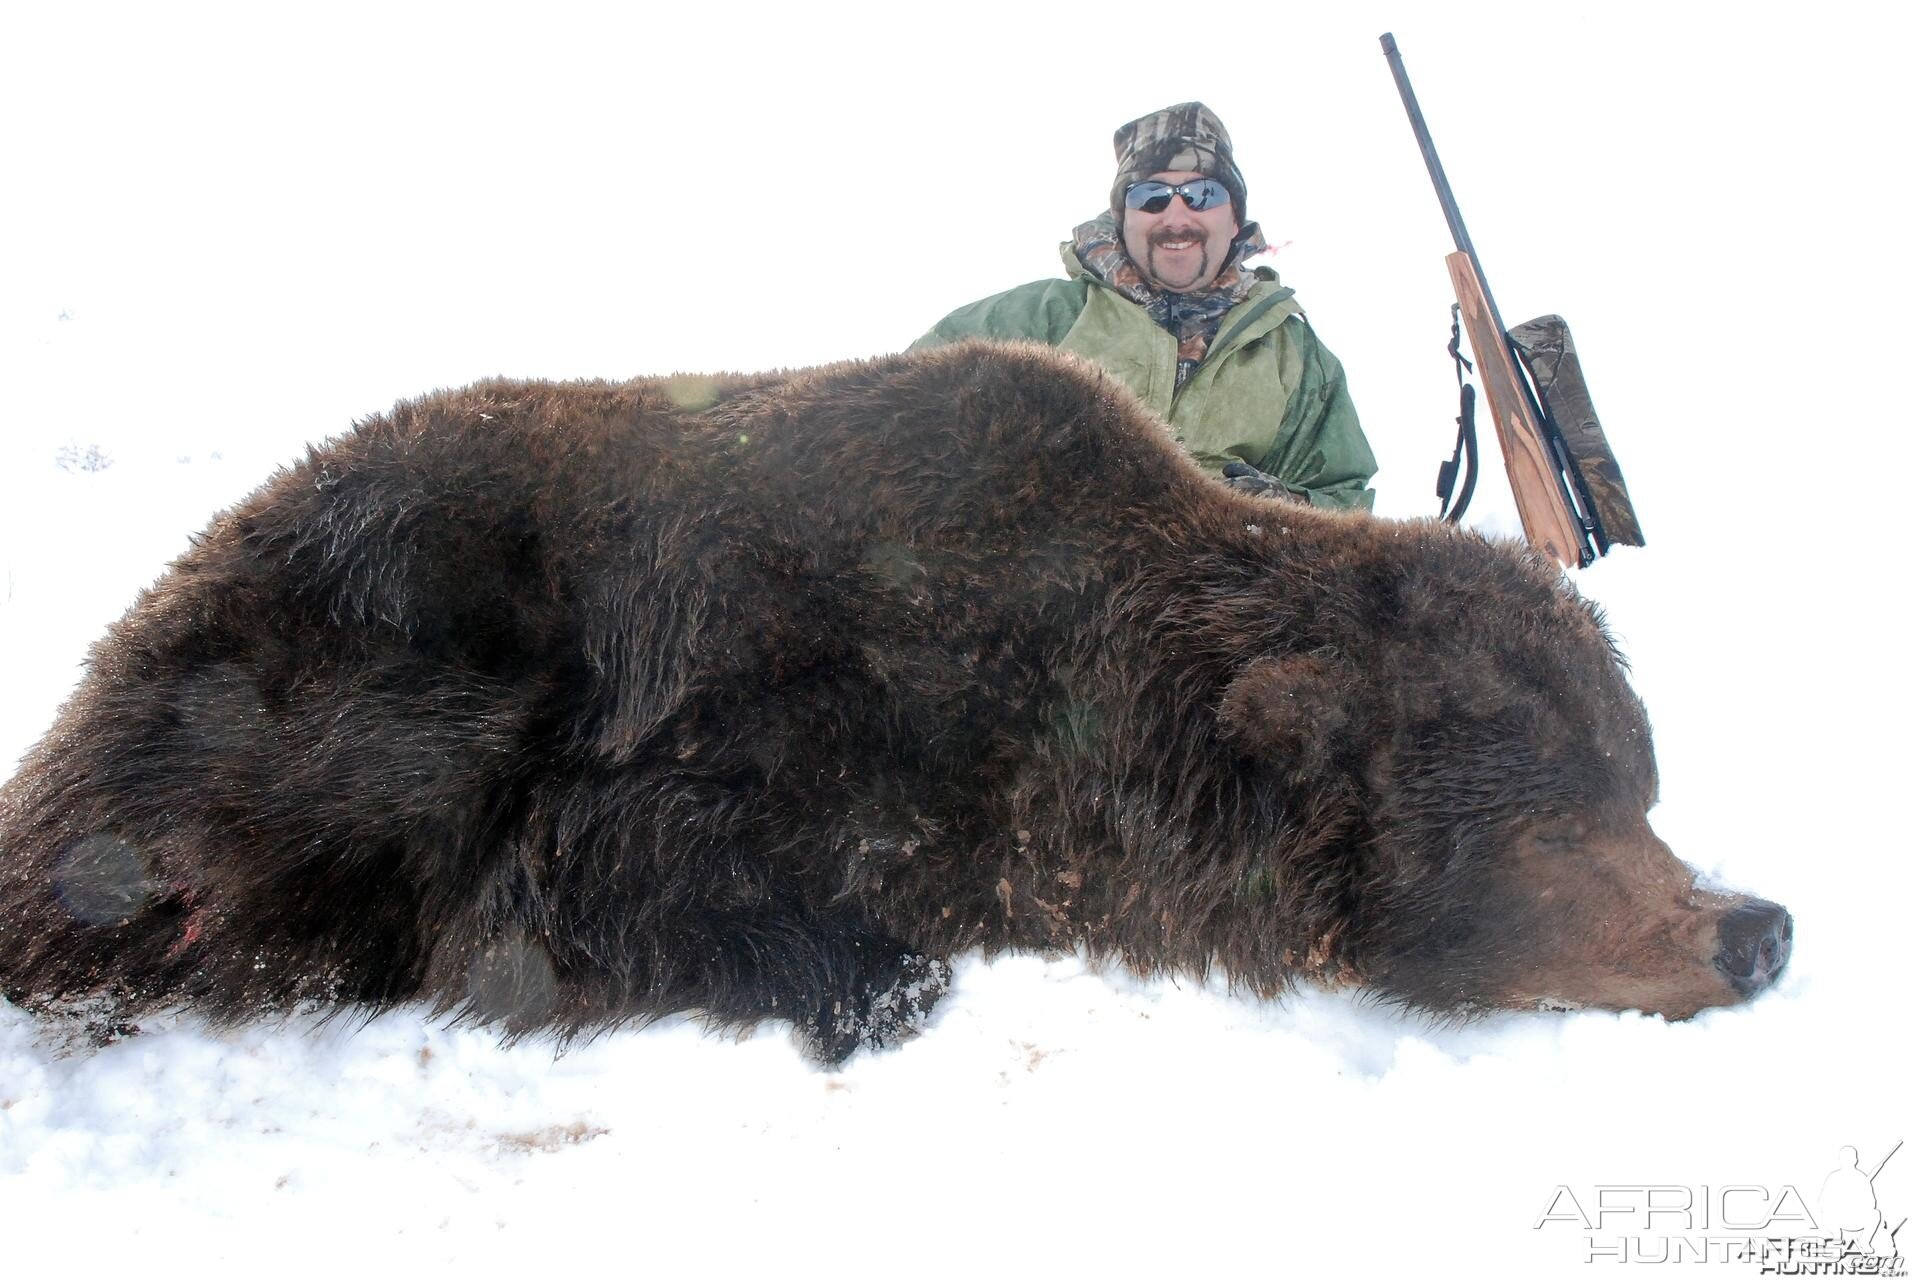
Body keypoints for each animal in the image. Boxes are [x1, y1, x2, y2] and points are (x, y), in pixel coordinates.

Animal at [0, 336, 1781, 1060]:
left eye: (1644, 787)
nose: (1757, 926)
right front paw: (858, 972)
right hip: (357, 639)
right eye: (1568, 810)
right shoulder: (724, 724)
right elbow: (610, 880)